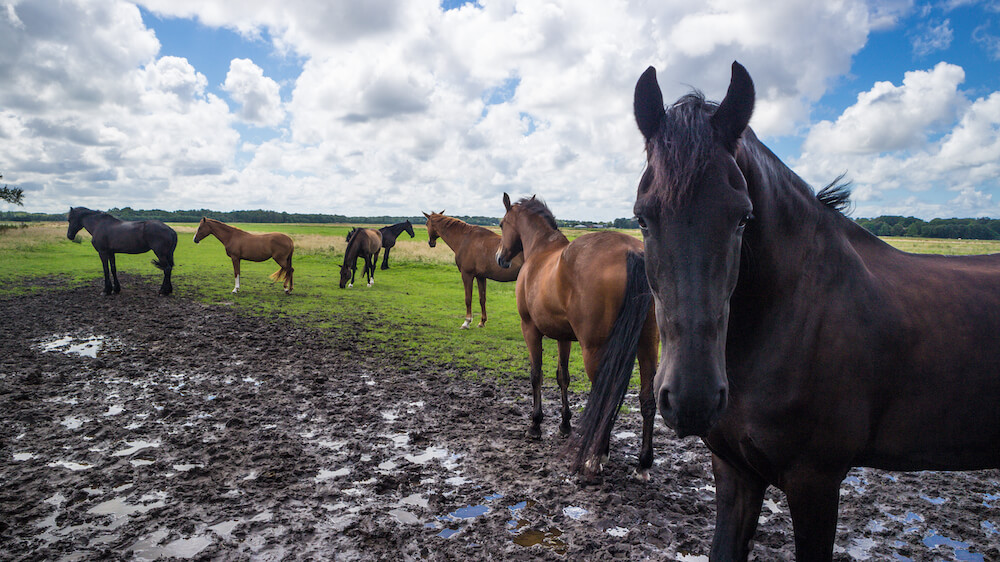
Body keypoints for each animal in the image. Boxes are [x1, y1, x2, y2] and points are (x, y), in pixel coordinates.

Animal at [496, 194, 660, 476]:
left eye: (501, 223)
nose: (499, 258)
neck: (541, 251)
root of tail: (633, 252)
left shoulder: (530, 329)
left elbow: (536, 374)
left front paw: (535, 425)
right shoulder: (564, 337)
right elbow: (563, 377)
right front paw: (564, 425)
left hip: (594, 349)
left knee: (604, 397)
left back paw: (596, 456)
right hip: (648, 344)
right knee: (647, 399)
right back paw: (644, 462)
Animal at [580, 61, 1000, 560]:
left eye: (743, 218)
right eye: (642, 217)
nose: (691, 399)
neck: (791, 318)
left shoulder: (815, 484)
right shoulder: (736, 474)